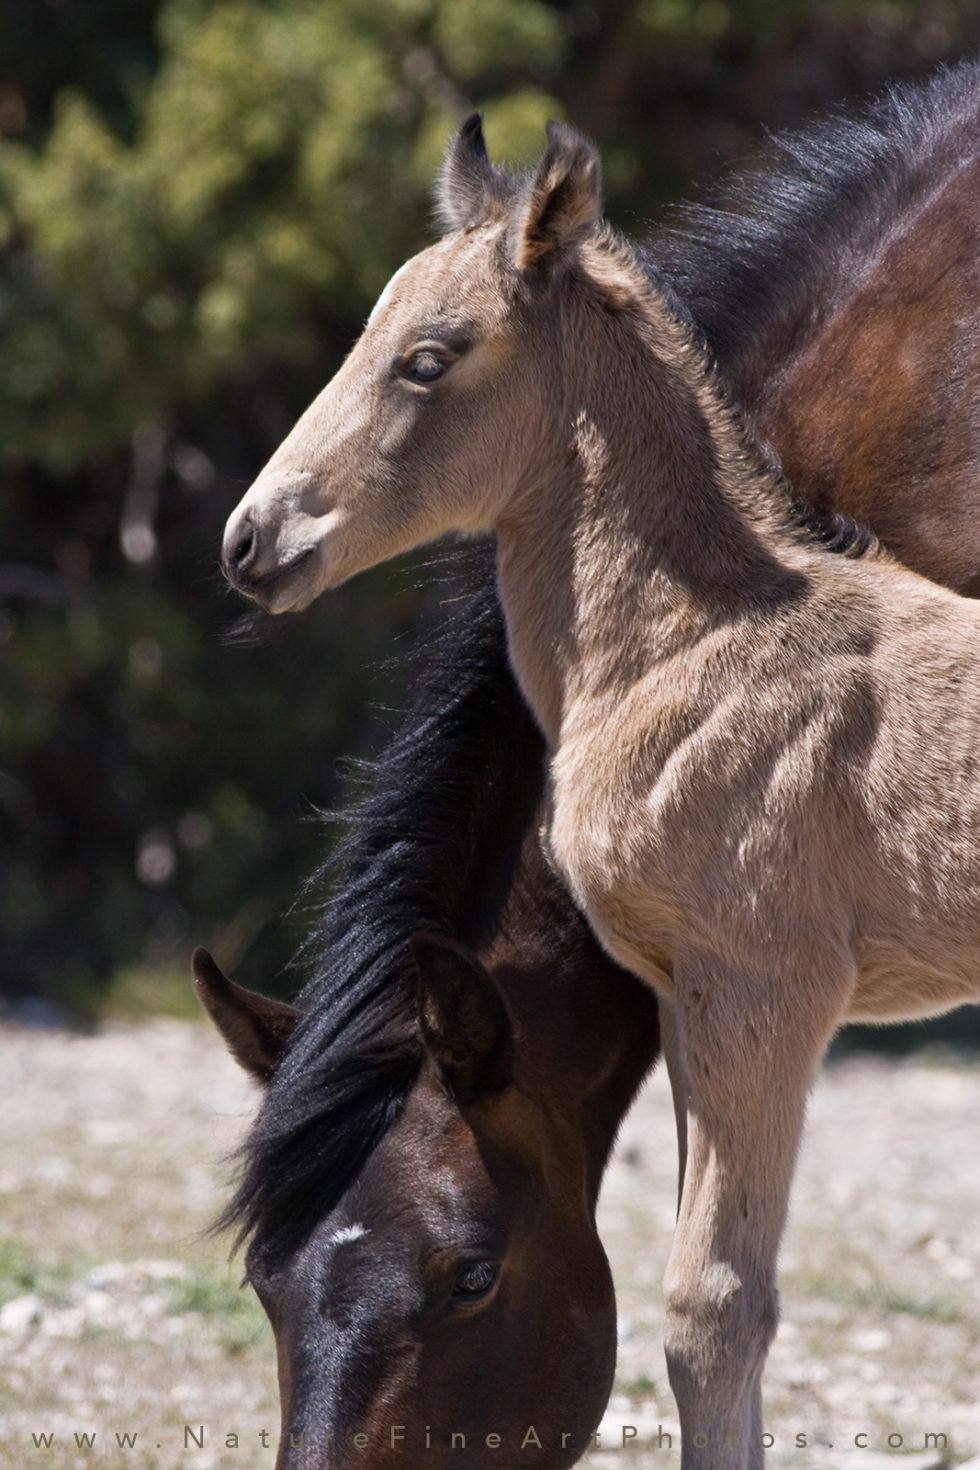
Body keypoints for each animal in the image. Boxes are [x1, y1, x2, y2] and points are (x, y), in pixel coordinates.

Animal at [207, 63, 980, 1464]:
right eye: (264, 1282)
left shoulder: (761, 993)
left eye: (427, 358)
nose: (254, 539)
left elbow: (712, 1315)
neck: (701, 636)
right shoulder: (683, 1003)